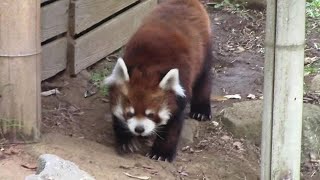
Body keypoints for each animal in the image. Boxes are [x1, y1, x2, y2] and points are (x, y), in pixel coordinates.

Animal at [104, 0, 211, 162]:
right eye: (129, 113)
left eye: (151, 115)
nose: (139, 129)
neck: (148, 68)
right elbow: (117, 115)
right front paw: (126, 141)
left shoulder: (180, 91)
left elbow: (173, 124)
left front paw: (161, 153)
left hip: (204, 49)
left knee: (204, 78)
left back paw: (201, 111)